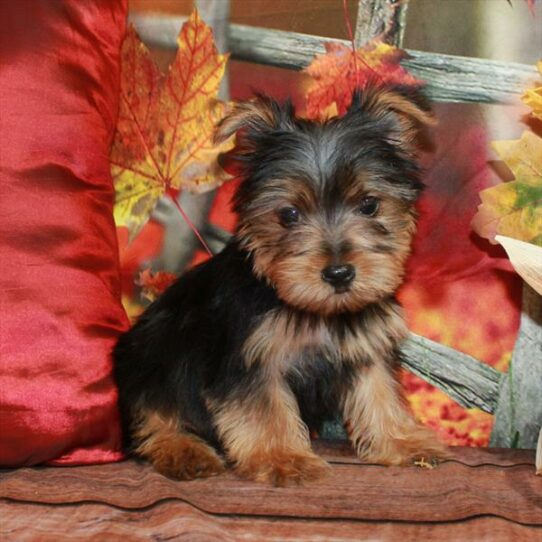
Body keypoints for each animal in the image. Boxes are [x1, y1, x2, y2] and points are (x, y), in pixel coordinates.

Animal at [112, 83, 448, 486]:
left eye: (369, 205)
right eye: (288, 214)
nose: (339, 273)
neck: (318, 311)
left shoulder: (367, 345)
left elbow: (379, 391)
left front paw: (402, 440)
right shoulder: (251, 358)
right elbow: (265, 409)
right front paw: (284, 458)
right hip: (151, 356)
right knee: (154, 417)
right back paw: (185, 451)